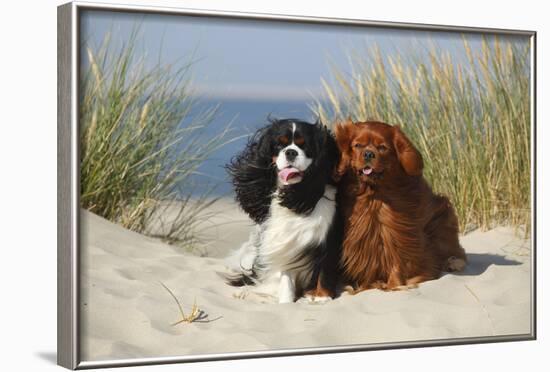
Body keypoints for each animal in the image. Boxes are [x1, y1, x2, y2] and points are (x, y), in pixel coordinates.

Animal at [226, 117, 342, 304]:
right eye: (279, 144)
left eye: (305, 146)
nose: (291, 152)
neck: (293, 193)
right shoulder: (286, 241)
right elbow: (286, 276)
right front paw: (286, 302)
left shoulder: (329, 238)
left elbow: (325, 269)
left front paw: (321, 297)